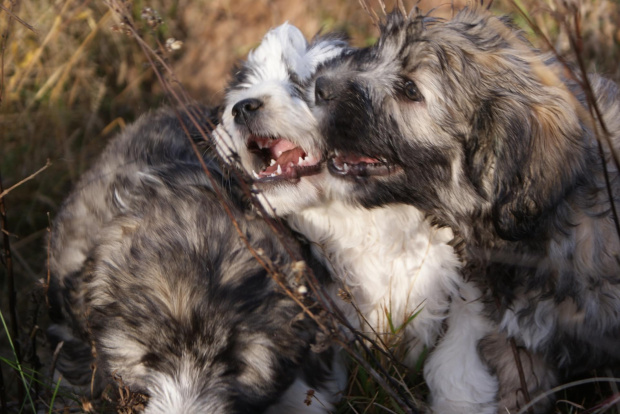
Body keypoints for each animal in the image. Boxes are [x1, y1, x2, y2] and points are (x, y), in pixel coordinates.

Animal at [213, 22, 498, 414]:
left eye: (303, 84)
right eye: (245, 86)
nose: (241, 108)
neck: (360, 219)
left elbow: (461, 341)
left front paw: (460, 400)